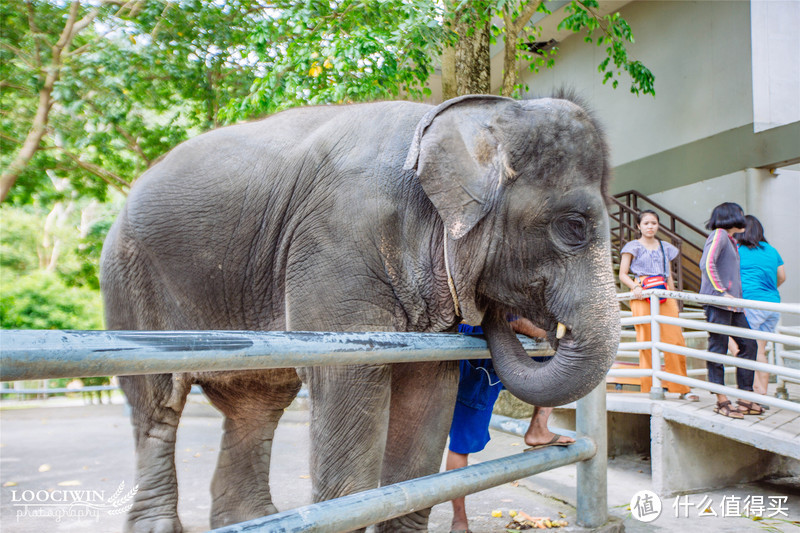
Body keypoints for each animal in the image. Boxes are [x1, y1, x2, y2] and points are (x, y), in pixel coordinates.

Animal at [100, 92, 620, 532]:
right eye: (573, 227)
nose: (498, 312)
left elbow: (426, 403)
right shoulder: (339, 239)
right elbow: (349, 384)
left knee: (257, 403)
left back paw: (253, 518)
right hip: (129, 280)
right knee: (157, 405)